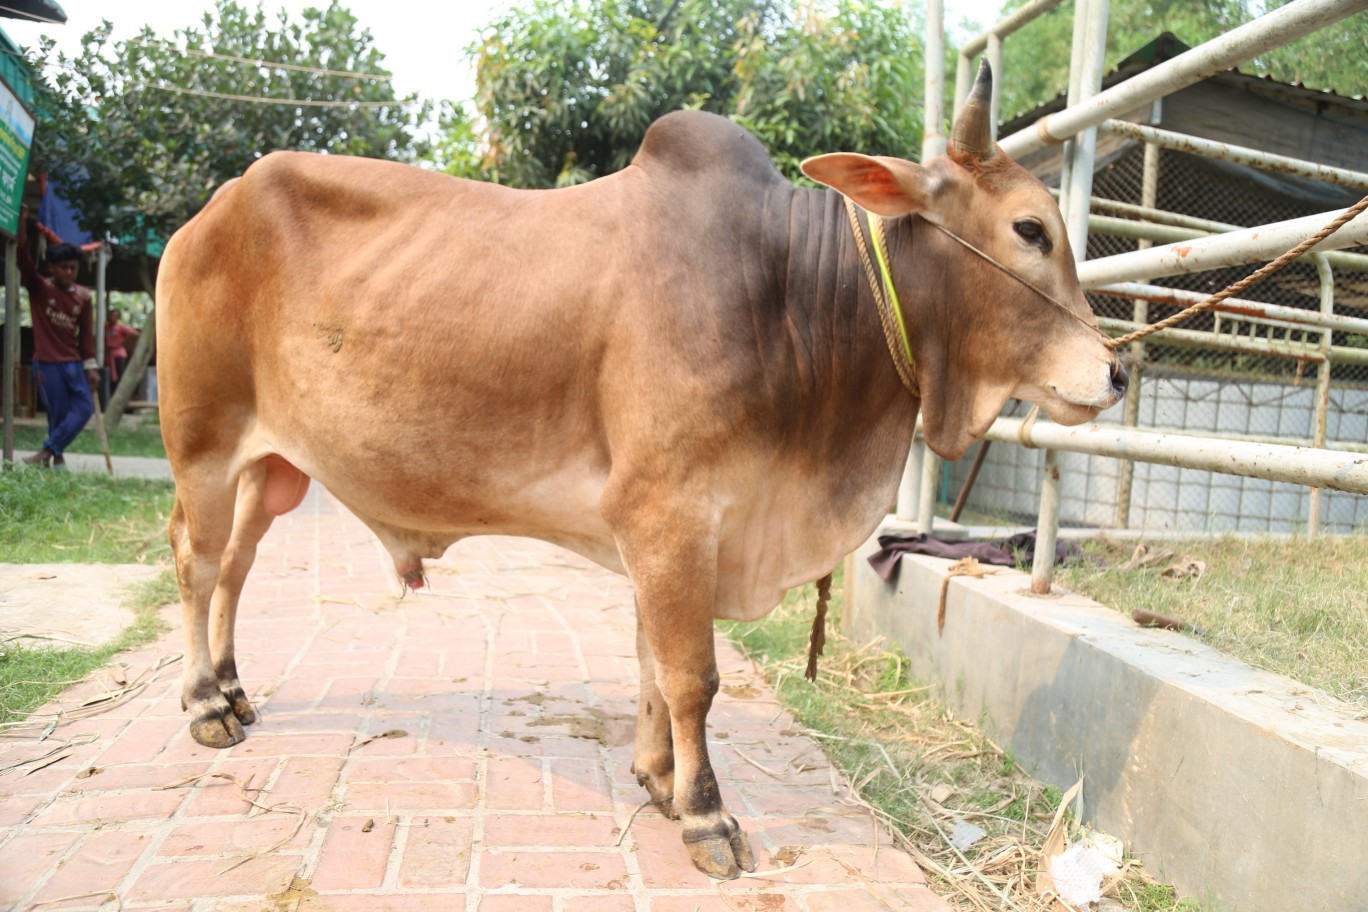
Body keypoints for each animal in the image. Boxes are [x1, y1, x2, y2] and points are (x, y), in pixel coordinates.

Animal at [156, 63, 1125, 880]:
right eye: (1031, 229)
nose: (1116, 371)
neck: (790, 293)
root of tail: (209, 211)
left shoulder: (667, 529)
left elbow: (653, 660)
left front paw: (657, 780)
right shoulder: (669, 512)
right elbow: (691, 674)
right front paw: (704, 814)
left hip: (274, 468)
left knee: (237, 564)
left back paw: (235, 688)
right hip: (202, 444)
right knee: (196, 563)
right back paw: (204, 706)